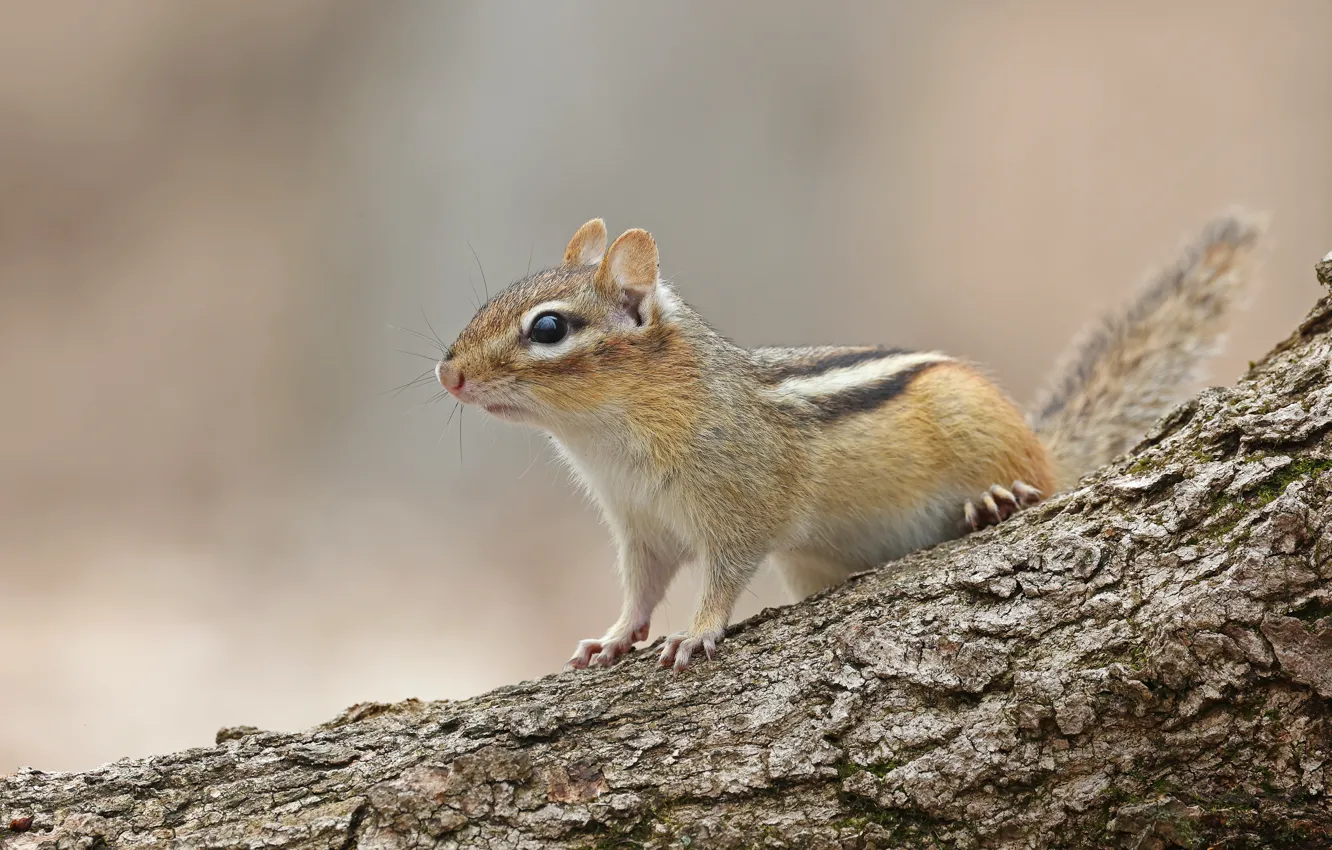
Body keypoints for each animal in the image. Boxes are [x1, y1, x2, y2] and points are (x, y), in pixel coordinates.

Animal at [434, 212, 1264, 671]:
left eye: (548, 327)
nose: (447, 373)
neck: (608, 440)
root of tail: (1044, 445)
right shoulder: (640, 528)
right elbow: (640, 587)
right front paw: (612, 638)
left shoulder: (741, 503)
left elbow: (723, 574)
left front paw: (697, 632)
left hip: (983, 427)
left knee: (1037, 483)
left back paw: (999, 498)